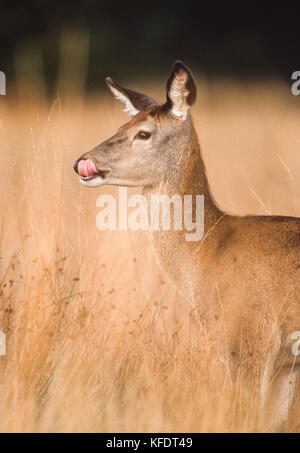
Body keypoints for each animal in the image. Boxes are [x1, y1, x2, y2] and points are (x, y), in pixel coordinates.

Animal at [74, 61, 300, 430]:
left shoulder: (249, 341)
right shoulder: (283, 364)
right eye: (122, 124)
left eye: (143, 133)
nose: (83, 162)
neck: (210, 252)